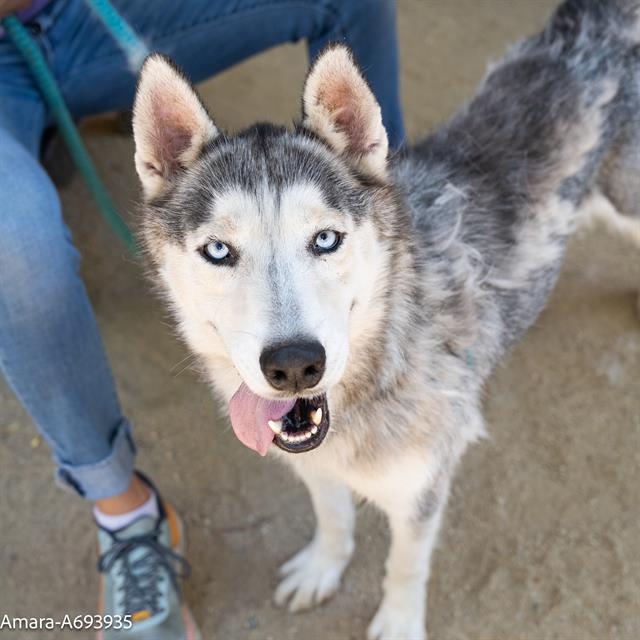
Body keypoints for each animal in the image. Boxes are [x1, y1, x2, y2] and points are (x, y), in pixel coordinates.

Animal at [131, 2, 640, 636]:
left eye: (326, 239)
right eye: (219, 251)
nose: (294, 365)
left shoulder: (422, 487)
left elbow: (405, 566)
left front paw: (398, 621)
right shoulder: (317, 467)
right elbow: (333, 519)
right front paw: (324, 567)